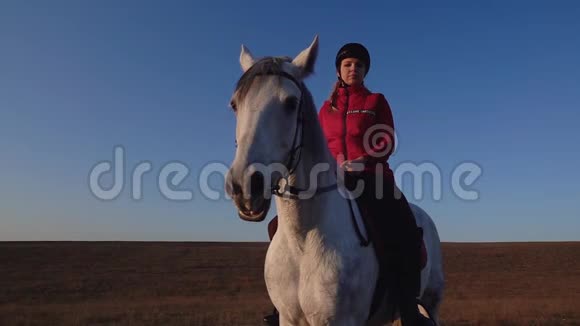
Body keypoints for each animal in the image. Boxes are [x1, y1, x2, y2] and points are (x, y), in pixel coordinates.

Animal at [227, 36, 444, 326]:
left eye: (291, 103)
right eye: (234, 104)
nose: (245, 185)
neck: (303, 238)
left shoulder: (341, 320)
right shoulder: (288, 318)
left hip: (431, 301)